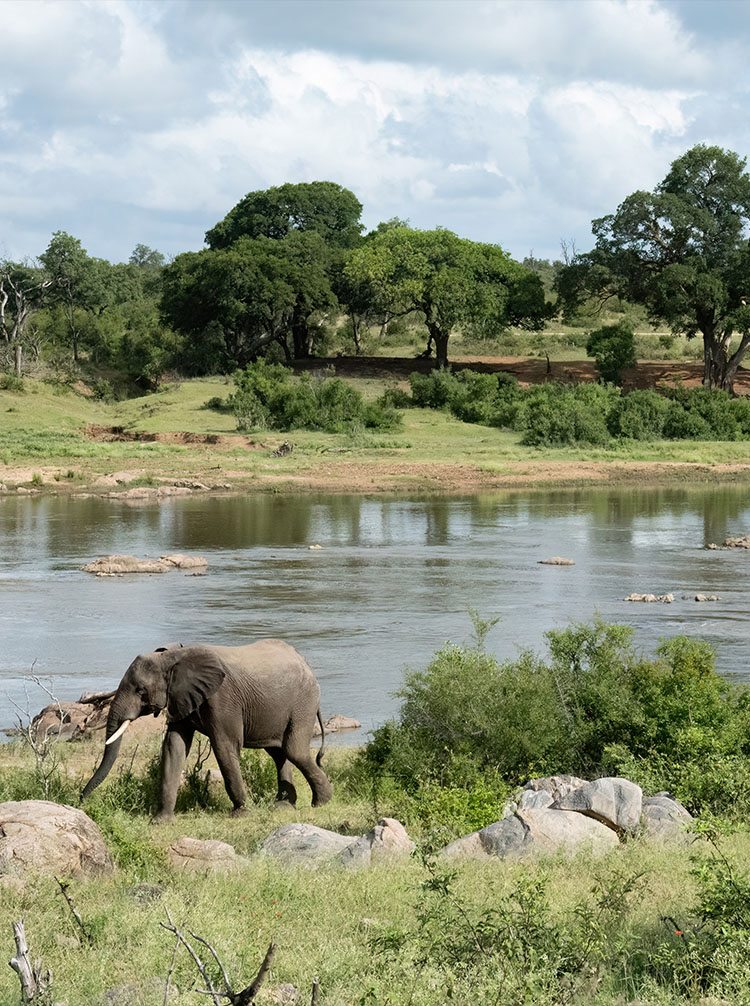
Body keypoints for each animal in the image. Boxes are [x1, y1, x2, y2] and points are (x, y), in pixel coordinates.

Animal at [79, 639, 333, 820]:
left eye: (141, 691)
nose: (81, 800)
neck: (173, 656)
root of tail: (305, 663)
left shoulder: (222, 698)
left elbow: (224, 747)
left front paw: (240, 814)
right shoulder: (180, 697)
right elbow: (174, 747)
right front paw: (161, 820)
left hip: (304, 701)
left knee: (293, 750)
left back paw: (321, 802)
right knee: (279, 753)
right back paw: (283, 806)